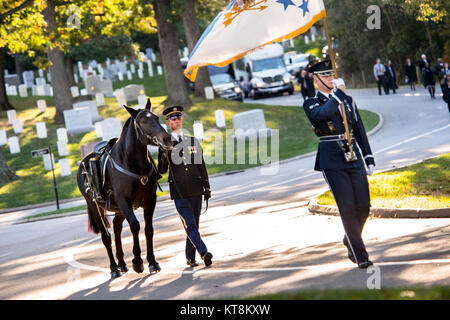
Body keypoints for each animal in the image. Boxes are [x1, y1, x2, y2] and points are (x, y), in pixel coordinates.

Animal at [76, 99, 171, 278]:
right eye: (142, 121)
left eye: (156, 117)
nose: (167, 139)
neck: (133, 163)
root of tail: (83, 162)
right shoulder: (124, 201)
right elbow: (135, 226)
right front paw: (138, 262)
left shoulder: (150, 200)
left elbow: (148, 229)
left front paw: (152, 262)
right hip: (97, 208)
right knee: (106, 237)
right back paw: (114, 268)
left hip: (118, 210)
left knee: (117, 228)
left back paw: (121, 263)